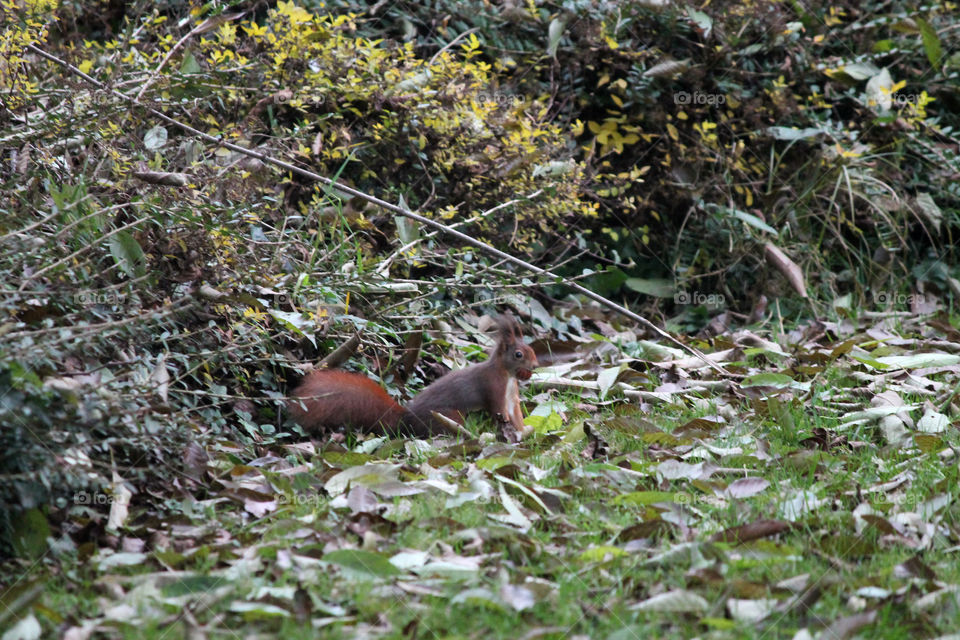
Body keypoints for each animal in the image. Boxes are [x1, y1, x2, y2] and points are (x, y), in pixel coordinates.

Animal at [288, 314, 539, 441]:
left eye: (531, 349)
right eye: (519, 354)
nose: (535, 365)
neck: (506, 374)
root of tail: (405, 419)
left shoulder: (511, 395)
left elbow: (516, 412)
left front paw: (524, 430)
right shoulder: (493, 388)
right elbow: (498, 410)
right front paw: (511, 430)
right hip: (447, 417)